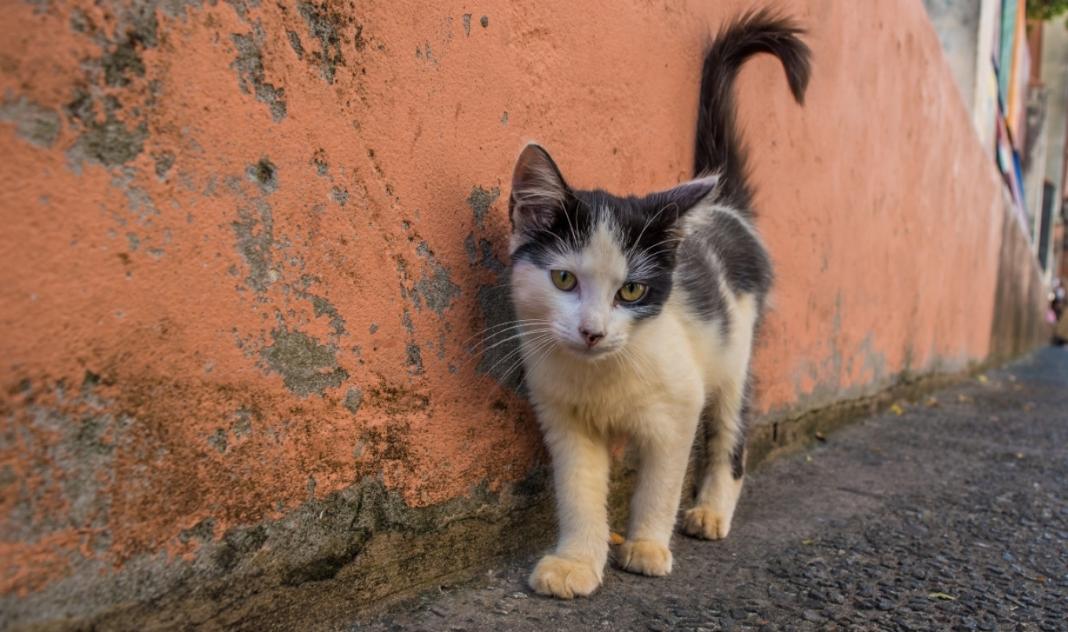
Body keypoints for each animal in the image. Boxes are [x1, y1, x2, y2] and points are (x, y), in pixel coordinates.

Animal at [504, 12, 811, 597]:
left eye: (631, 291)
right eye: (563, 279)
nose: (592, 332)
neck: (602, 375)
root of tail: (726, 209)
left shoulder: (679, 405)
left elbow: (660, 483)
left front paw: (646, 545)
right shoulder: (563, 418)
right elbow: (578, 489)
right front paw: (577, 561)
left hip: (736, 349)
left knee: (731, 431)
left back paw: (711, 511)